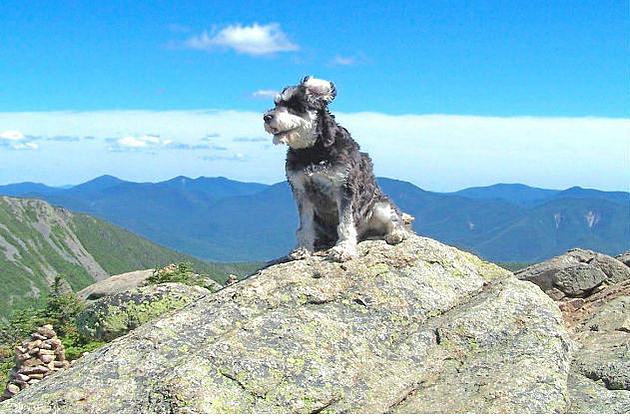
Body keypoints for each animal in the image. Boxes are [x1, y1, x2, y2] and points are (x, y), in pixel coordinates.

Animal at [264, 74, 412, 260]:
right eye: (276, 104)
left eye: (295, 105)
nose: (267, 117)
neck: (312, 151)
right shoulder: (301, 190)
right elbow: (304, 225)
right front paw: (303, 248)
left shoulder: (345, 188)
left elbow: (345, 224)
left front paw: (344, 249)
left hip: (380, 206)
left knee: (395, 218)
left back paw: (397, 233)